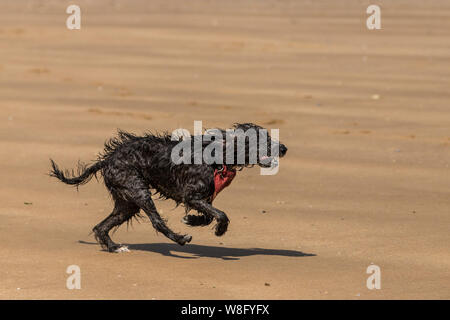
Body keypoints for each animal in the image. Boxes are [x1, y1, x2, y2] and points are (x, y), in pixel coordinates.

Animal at [50, 122, 288, 252]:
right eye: (260, 139)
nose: (284, 148)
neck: (218, 155)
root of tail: (108, 159)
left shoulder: (202, 198)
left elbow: (209, 215)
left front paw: (192, 220)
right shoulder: (191, 195)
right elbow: (221, 214)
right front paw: (219, 229)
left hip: (127, 202)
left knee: (101, 227)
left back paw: (115, 247)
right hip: (137, 189)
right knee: (156, 221)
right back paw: (180, 239)